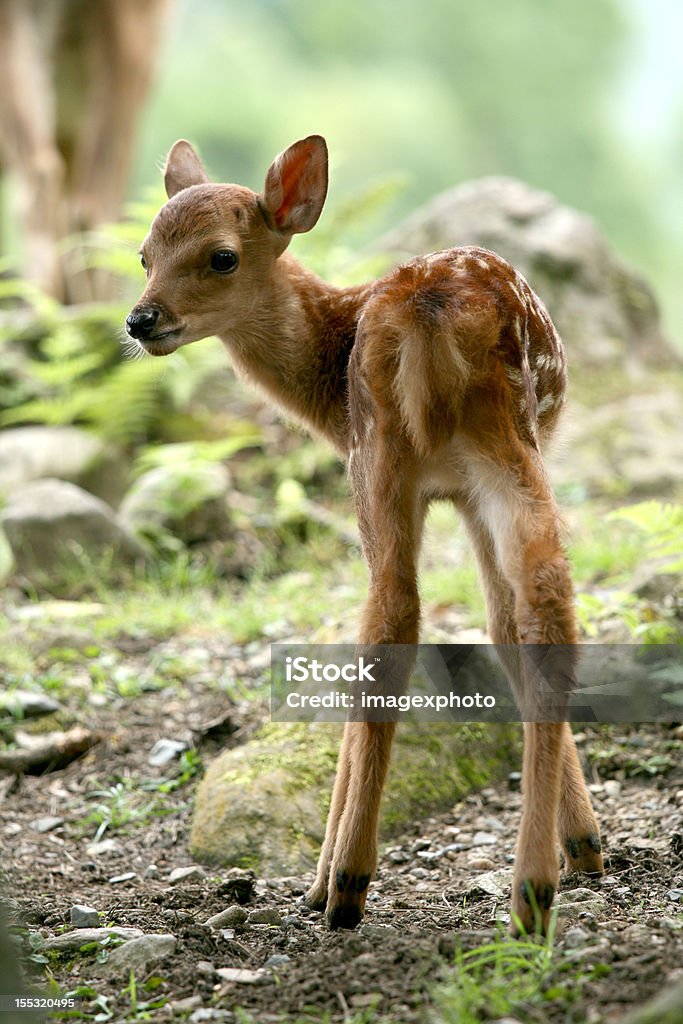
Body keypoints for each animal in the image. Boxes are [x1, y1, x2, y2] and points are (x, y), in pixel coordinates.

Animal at [126, 132, 602, 933]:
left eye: (221, 256)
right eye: (143, 253)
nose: (141, 319)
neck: (326, 353)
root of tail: (430, 318)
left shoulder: (396, 474)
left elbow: (474, 627)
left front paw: (319, 877)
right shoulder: (458, 493)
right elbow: (504, 628)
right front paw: (586, 843)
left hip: (382, 458)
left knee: (391, 619)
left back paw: (344, 882)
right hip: (498, 454)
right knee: (542, 603)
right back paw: (532, 889)